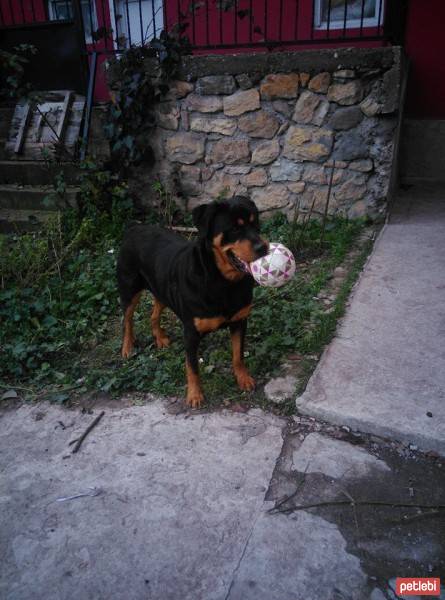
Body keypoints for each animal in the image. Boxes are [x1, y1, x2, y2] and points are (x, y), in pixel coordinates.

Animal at [116, 197, 268, 408]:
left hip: (162, 289)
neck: (223, 282)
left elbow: (238, 355)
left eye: (255, 223)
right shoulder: (191, 333)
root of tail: (134, 227)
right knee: (127, 320)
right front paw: (195, 395)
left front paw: (243, 379)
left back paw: (160, 337)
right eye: (234, 228)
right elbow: (192, 367)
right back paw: (127, 348)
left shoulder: (240, 321)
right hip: (129, 288)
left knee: (154, 313)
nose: (263, 247)